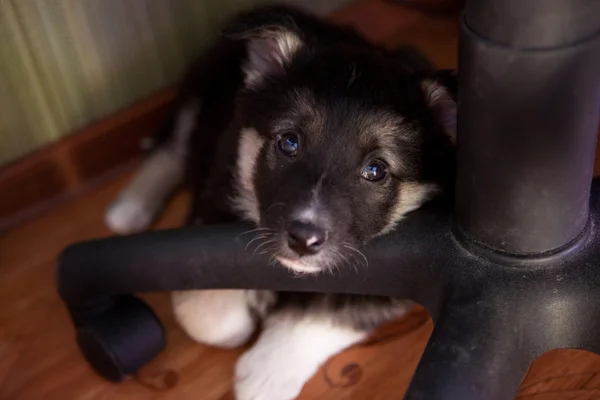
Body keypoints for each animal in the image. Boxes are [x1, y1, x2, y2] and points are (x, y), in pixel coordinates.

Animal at [105, 3, 458, 400]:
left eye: (376, 170)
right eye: (289, 142)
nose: (304, 239)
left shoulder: (398, 270)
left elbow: (322, 315)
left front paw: (265, 375)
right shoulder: (210, 208)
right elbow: (210, 315)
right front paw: (244, 319)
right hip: (197, 95)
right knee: (170, 149)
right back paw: (128, 211)